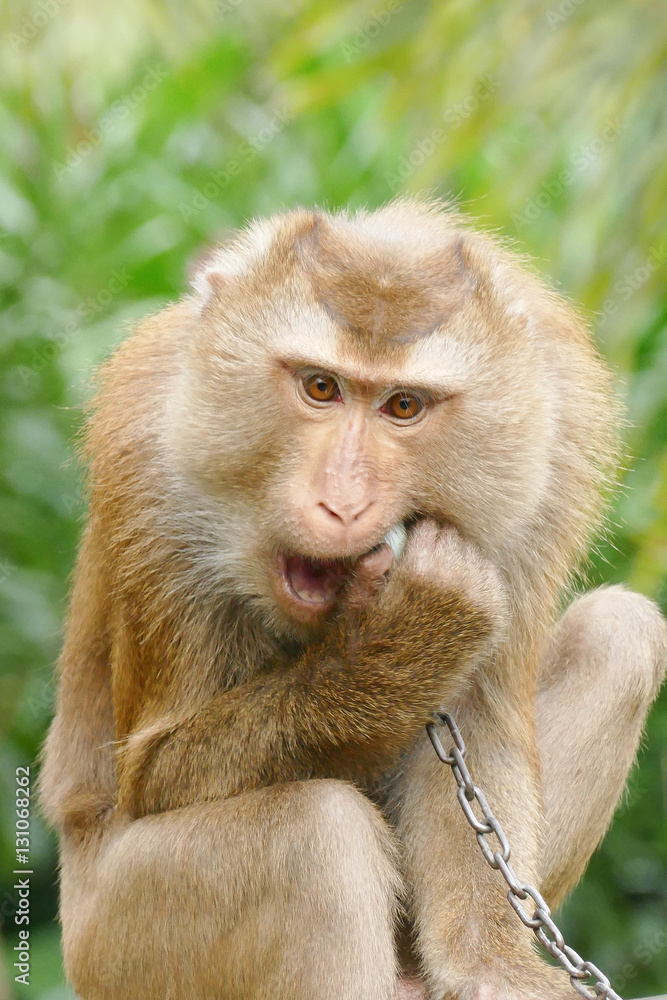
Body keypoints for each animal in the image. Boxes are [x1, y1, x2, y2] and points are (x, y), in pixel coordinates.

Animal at [39, 199, 667, 1000]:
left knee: (622, 629)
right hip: (115, 947)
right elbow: (156, 771)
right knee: (315, 838)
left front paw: (489, 963)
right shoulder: (147, 459)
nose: (341, 503)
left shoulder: (547, 459)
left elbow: (479, 731)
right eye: (320, 388)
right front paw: (408, 640)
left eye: (403, 405)